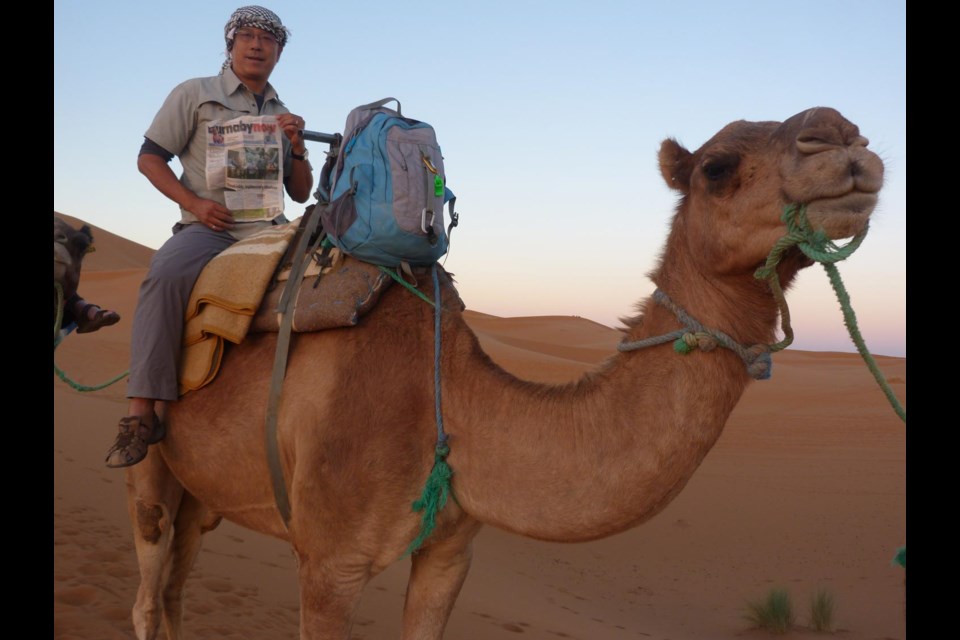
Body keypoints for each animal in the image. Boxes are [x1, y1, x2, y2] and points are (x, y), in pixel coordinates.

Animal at [120, 107, 884, 636]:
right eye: (718, 167)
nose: (841, 135)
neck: (449, 403)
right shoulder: (329, 561)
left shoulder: (449, 553)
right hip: (156, 458)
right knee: (148, 589)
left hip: (208, 490)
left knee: (178, 585)